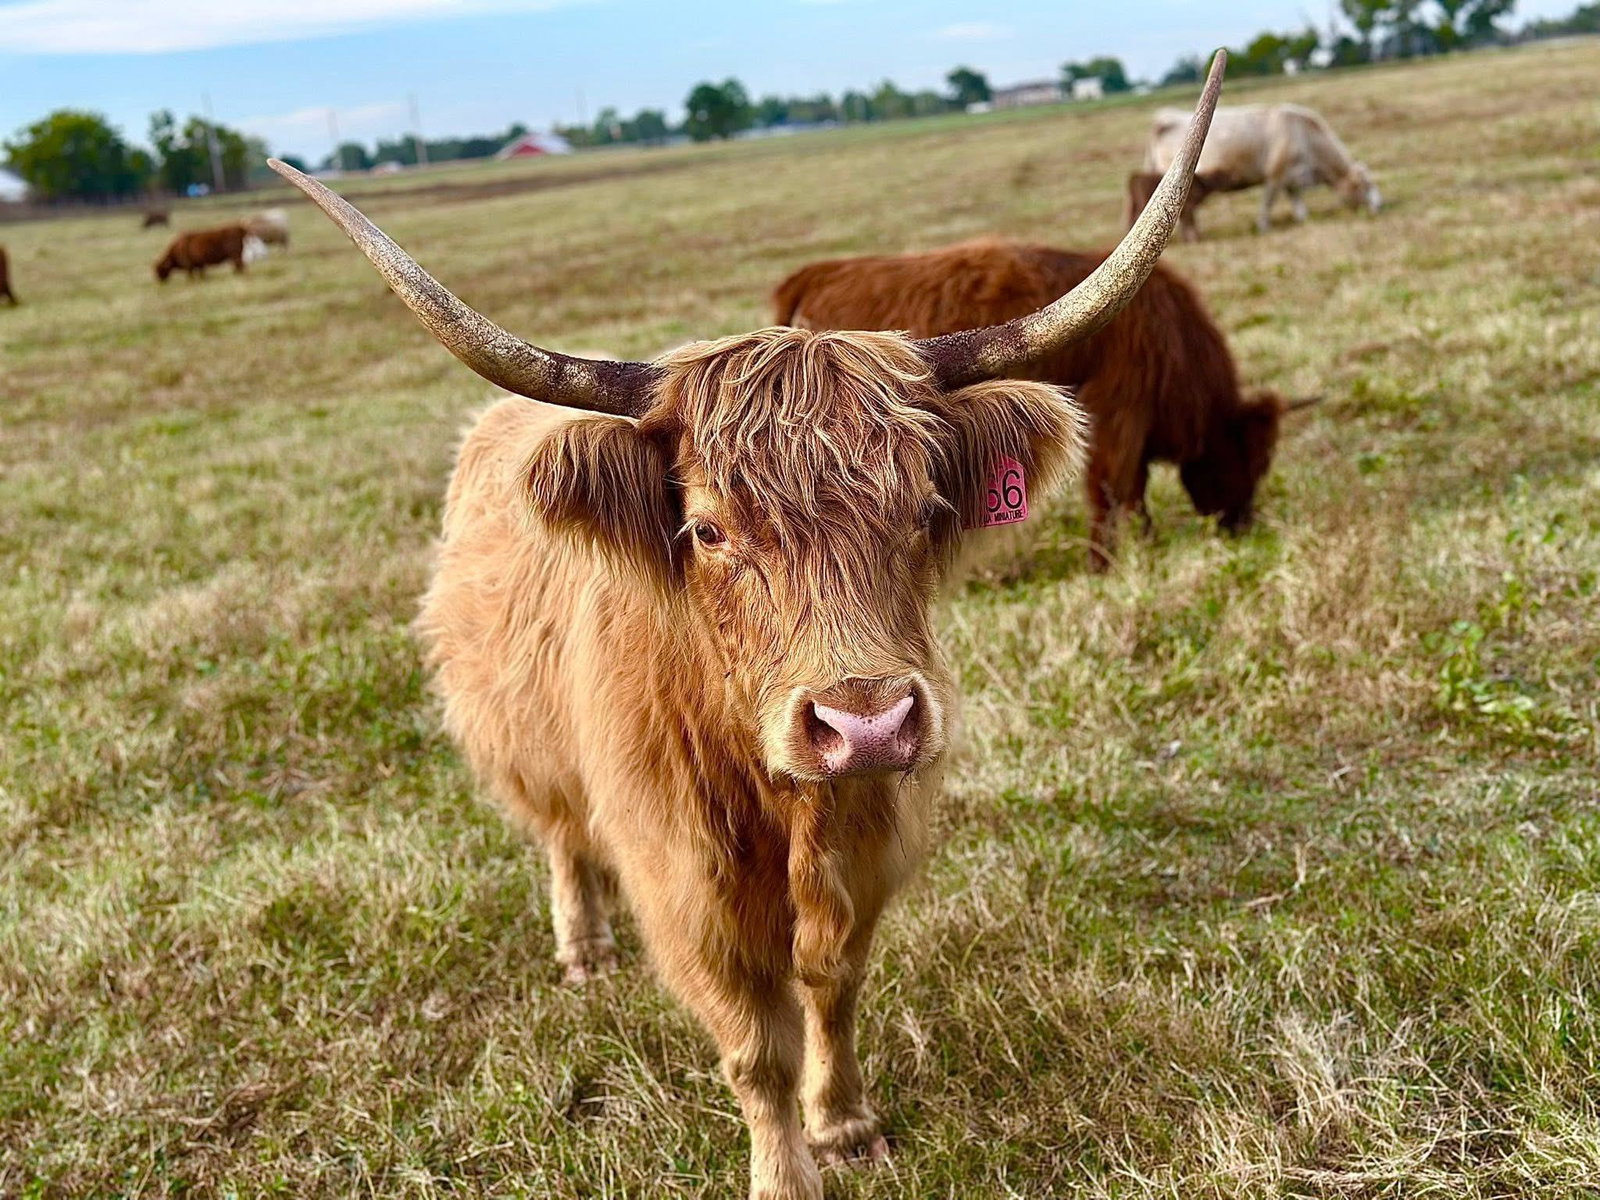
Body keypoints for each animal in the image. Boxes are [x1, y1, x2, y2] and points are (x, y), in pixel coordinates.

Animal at [272, 51, 1222, 1200]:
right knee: (561, 838)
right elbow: (752, 1044)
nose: (865, 723)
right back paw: (583, 949)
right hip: (520, 747)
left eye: (923, 508)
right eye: (709, 528)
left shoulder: (866, 843)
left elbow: (833, 985)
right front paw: (782, 1169)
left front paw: (844, 1125)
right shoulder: (686, 885)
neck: (778, 801)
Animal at [773, 239, 1315, 568]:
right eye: (1252, 460)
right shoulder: (1117, 413)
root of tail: (818, 273)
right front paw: (1109, 562)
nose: (1243, 524)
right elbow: (1113, 490)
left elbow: (1129, 490)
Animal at [1146, 102, 1380, 233]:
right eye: (1366, 185)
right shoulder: (1275, 175)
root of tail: (1163, 119)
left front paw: (1303, 218)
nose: (1380, 205)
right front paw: (1263, 227)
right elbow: (1268, 202)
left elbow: (1296, 201)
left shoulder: (1291, 178)